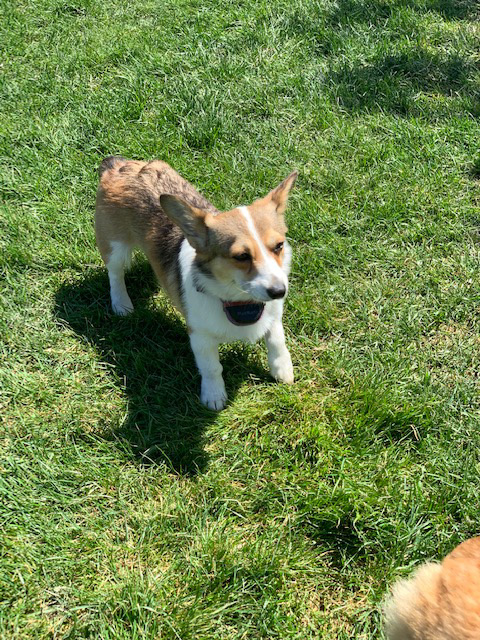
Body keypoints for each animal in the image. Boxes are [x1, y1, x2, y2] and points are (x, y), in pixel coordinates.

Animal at [94, 156, 296, 410]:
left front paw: (283, 370)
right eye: (241, 256)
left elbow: (277, 341)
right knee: (115, 273)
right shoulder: (199, 336)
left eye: (279, 246)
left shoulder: (274, 317)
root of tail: (118, 164)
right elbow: (212, 368)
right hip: (115, 246)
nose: (279, 291)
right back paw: (121, 303)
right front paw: (214, 396)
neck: (240, 301)